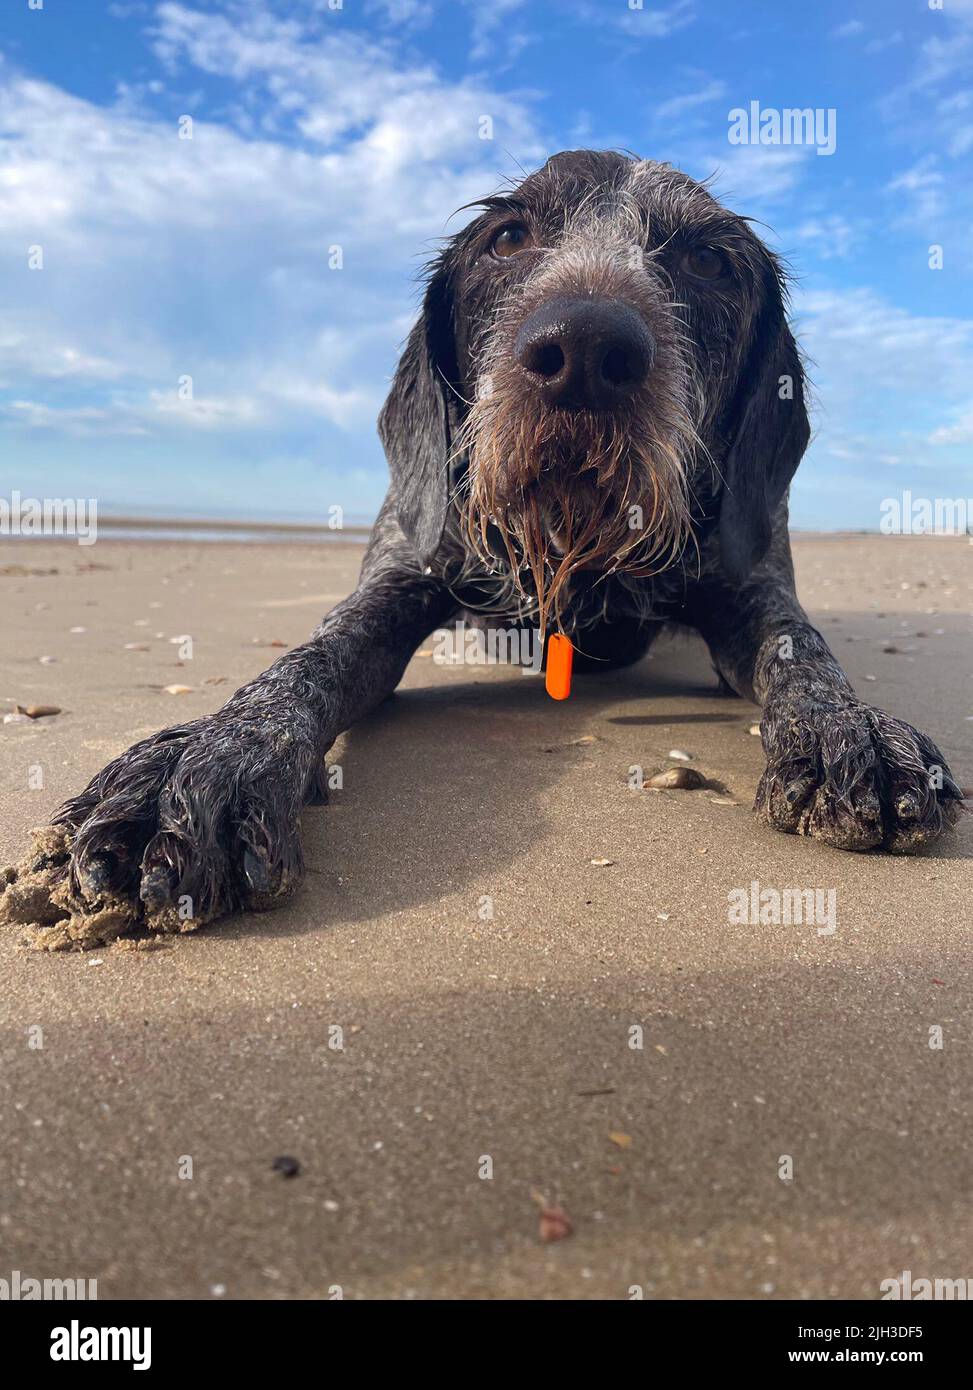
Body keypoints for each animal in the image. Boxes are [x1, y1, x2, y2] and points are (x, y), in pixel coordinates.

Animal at [0, 154, 956, 956]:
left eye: (710, 262)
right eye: (507, 238)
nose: (584, 351)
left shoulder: (746, 582)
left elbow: (800, 651)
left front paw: (851, 728)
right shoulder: (398, 578)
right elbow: (301, 669)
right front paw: (191, 762)